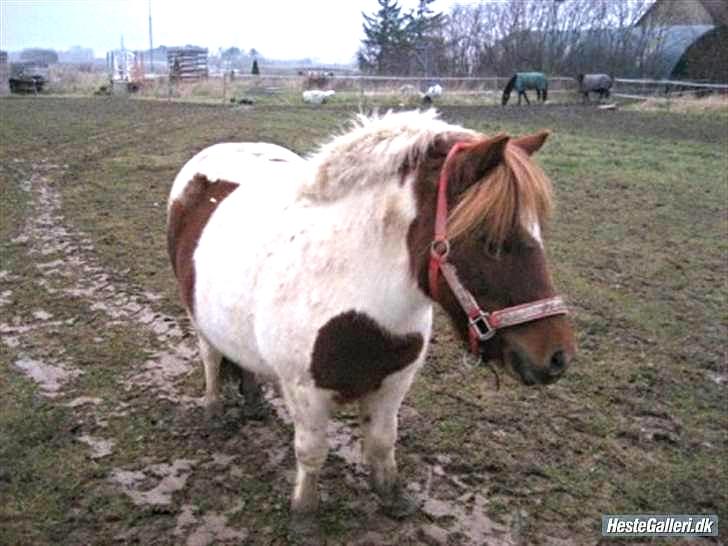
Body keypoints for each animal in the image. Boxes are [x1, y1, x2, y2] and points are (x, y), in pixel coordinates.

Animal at [165, 109, 576, 528]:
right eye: (490, 241)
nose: (558, 357)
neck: (355, 298)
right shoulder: (305, 391)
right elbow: (312, 451)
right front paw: (304, 514)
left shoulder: (394, 383)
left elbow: (381, 443)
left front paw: (392, 497)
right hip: (198, 315)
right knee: (211, 357)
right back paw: (214, 410)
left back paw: (252, 403)